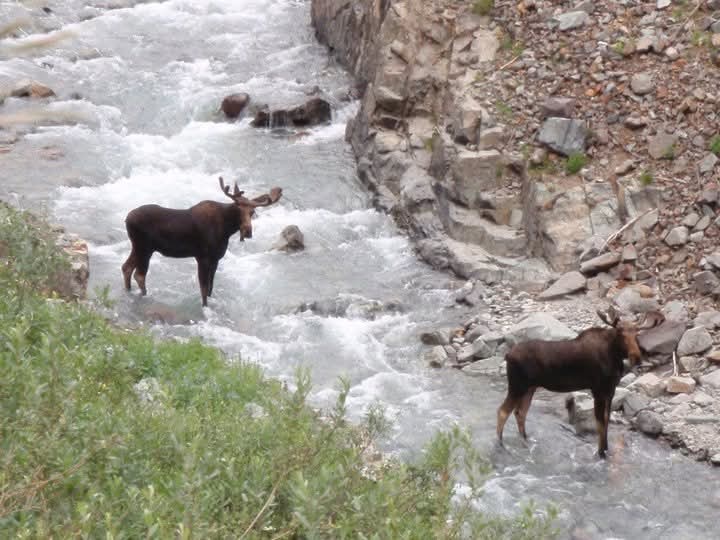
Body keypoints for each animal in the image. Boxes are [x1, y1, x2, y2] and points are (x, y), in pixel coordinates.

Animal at [122, 175, 282, 306]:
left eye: (252, 212)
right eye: (238, 210)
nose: (248, 231)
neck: (226, 230)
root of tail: (126, 219)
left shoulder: (216, 259)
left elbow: (211, 287)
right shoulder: (202, 257)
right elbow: (204, 289)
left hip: (139, 247)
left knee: (126, 267)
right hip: (144, 248)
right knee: (139, 275)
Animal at [498, 310, 668, 458]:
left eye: (637, 333)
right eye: (620, 334)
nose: (636, 357)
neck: (614, 356)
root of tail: (508, 354)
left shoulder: (610, 390)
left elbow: (606, 419)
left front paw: (605, 448)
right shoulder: (598, 389)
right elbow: (600, 422)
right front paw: (600, 453)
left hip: (530, 387)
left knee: (520, 412)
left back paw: (524, 437)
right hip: (517, 386)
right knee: (503, 411)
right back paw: (500, 444)